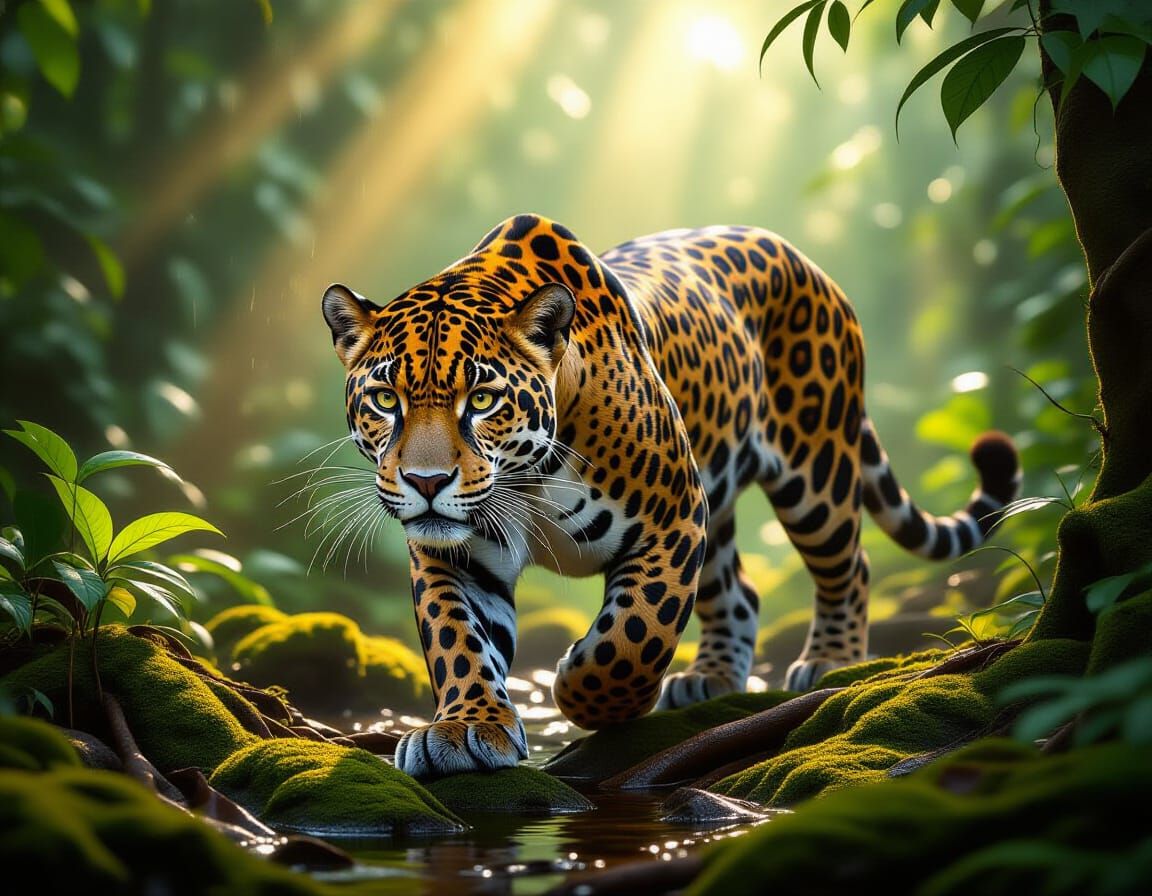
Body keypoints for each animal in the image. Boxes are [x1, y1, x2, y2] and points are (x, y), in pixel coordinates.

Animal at [322, 213, 1020, 779]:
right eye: (385, 399)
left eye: (483, 399)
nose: (426, 483)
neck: (526, 476)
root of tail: (803, 257)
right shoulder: (454, 553)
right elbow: (458, 640)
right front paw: (468, 728)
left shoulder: (672, 519)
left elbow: (634, 636)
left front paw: (582, 694)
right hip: (721, 501)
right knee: (740, 592)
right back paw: (711, 677)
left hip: (815, 467)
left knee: (850, 565)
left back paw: (831, 664)